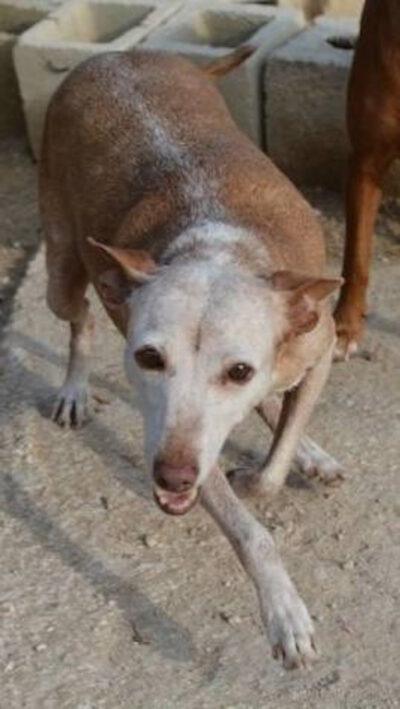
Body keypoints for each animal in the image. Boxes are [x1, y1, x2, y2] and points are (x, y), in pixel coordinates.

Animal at [40, 47, 343, 669]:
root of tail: (120, 55)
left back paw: (308, 449)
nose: (171, 476)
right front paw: (284, 612)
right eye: (148, 358)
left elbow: (271, 468)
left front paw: (280, 461)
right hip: (61, 268)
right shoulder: (176, 439)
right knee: (80, 320)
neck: (218, 250)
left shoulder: (318, 347)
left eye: (239, 371)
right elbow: (250, 528)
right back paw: (75, 389)